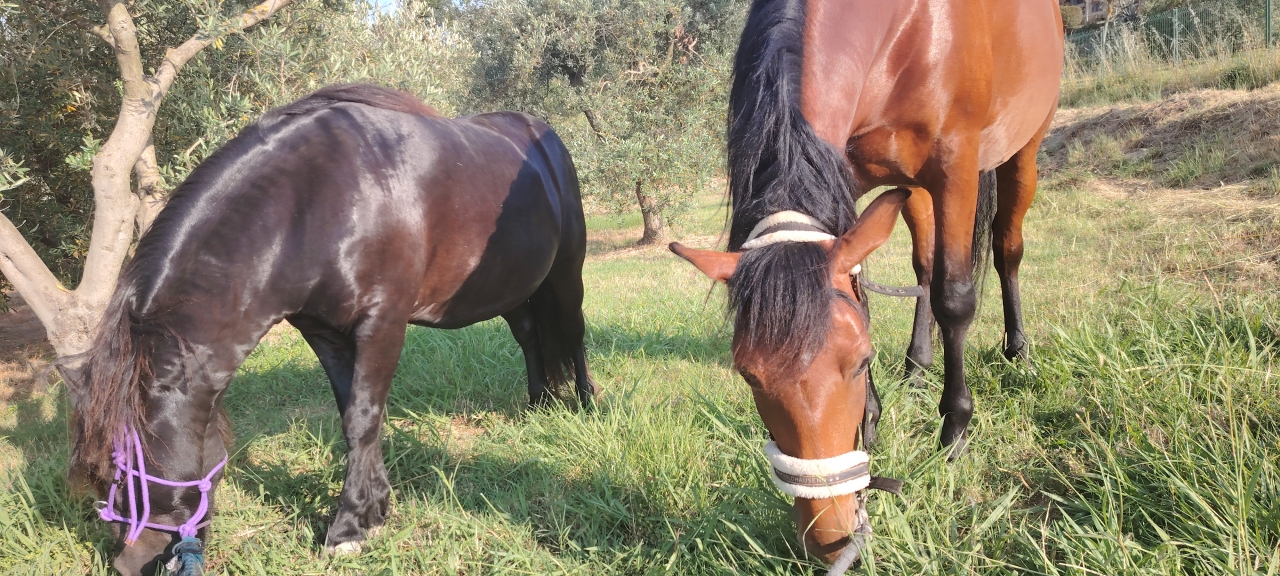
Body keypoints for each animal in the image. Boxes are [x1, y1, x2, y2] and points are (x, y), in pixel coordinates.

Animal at [64, 84, 598, 576]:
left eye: (120, 474)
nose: (128, 565)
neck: (316, 200)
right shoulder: (323, 332)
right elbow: (353, 415)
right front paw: (374, 510)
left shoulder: (383, 322)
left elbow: (364, 417)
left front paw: (346, 529)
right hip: (513, 286)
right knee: (530, 336)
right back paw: (538, 403)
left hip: (566, 272)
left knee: (573, 335)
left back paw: (586, 406)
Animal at [670, 0, 1063, 571]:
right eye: (747, 375)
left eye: (859, 362)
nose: (831, 540)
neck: (910, 28)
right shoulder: (847, 173)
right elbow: (869, 289)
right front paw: (874, 419)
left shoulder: (956, 166)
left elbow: (955, 298)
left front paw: (955, 434)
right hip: (910, 186)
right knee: (924, 266)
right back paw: (918, 367)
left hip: (1021, 151)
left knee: (1005, 249)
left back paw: (1018, 352)